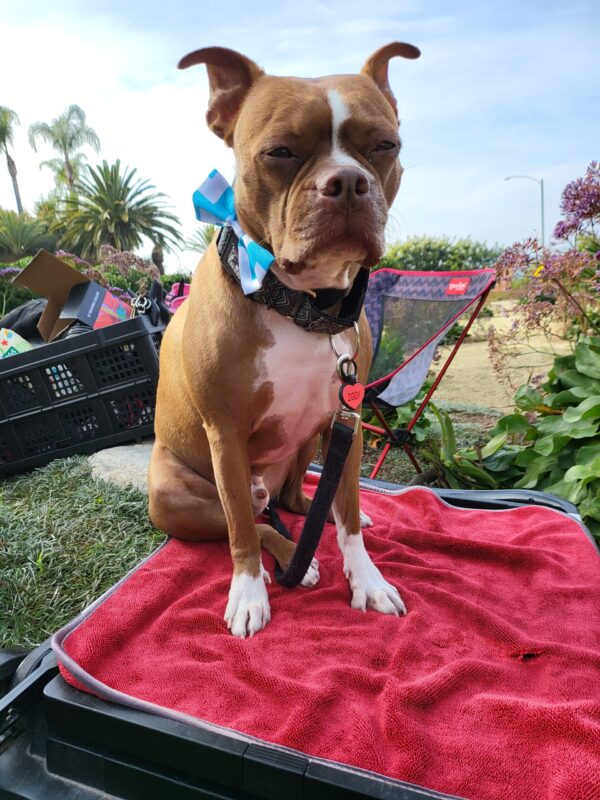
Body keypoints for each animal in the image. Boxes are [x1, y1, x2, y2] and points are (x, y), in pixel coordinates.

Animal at [148, 43, 420, 636]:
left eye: (385, 145)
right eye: (279, 152)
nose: (348, 182)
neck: (301, 305)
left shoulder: (348, 420)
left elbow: (345, 515)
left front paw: (367, 579)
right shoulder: (225, 434)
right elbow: (242, 537)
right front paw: (249, 595)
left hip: (309, 443)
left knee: (302, 500)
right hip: (177, 495)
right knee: (250, 520)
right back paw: (293, 555)